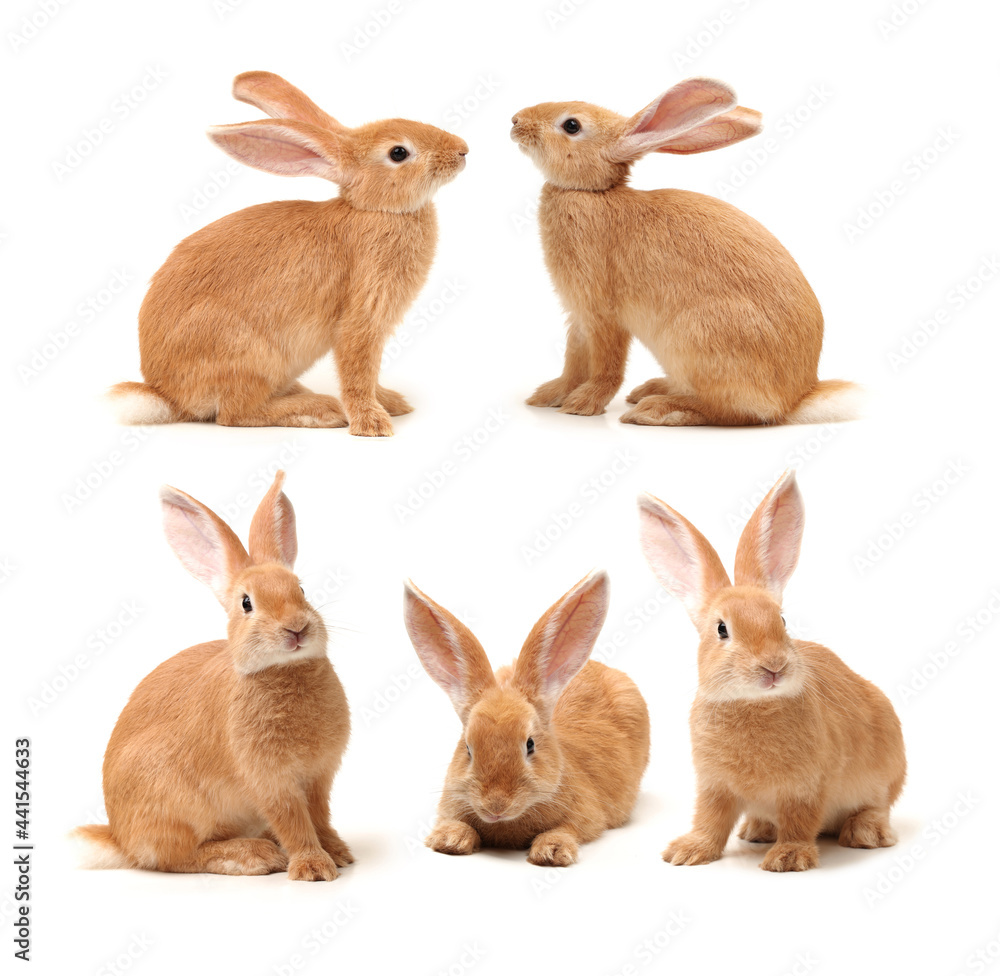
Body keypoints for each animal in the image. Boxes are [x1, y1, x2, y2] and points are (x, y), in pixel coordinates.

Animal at [76, 468, 354, 880]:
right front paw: (314, 868)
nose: (296, 628)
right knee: (176, 856)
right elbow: (295, 822)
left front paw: (339, 853)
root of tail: (120, 837)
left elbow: (319, 817)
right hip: (172, 802)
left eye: (301, 590)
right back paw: (253, 855)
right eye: (246, 603)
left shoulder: (318, 777)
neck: (285, 671)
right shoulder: (270, 781)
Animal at [111, 74, 470, 440]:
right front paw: (372, 424)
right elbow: (358, 370)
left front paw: (393, 403)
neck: (377, 209)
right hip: (246, 352)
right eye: (398, 153)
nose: (463, 150)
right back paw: (319, 410)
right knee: (235, 413)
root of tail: (167, 395)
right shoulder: (363, 314)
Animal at [402, 568, 652, 864]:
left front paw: (551, 851)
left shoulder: (587, 816)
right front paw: (449, 839)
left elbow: (567, 830)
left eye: (530, 745)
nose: (496, 806)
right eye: (468, 749)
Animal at [512, 76, 864, 428]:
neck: (591, 193)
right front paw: (548, 396)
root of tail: (796, 398)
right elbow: (573, 361)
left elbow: (605, 365)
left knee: (733, 409)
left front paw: (582, 404)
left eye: (571, 125)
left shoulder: (602, 313)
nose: (515, 121)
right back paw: (652, 390)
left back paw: (659, 408)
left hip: (698, 338)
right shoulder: (579, 317)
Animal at [640, 468, 908, 872]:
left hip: (886, 771)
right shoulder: (714, 786)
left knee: (876, 806)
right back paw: (757, 829)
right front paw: (687, 852)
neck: (752, 704)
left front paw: (789, 858)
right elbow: (710, 820)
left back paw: (865, 833)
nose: (773, 667)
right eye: (722, 629)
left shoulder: (806, 787)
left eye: (781, 621)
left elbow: (800, 822)